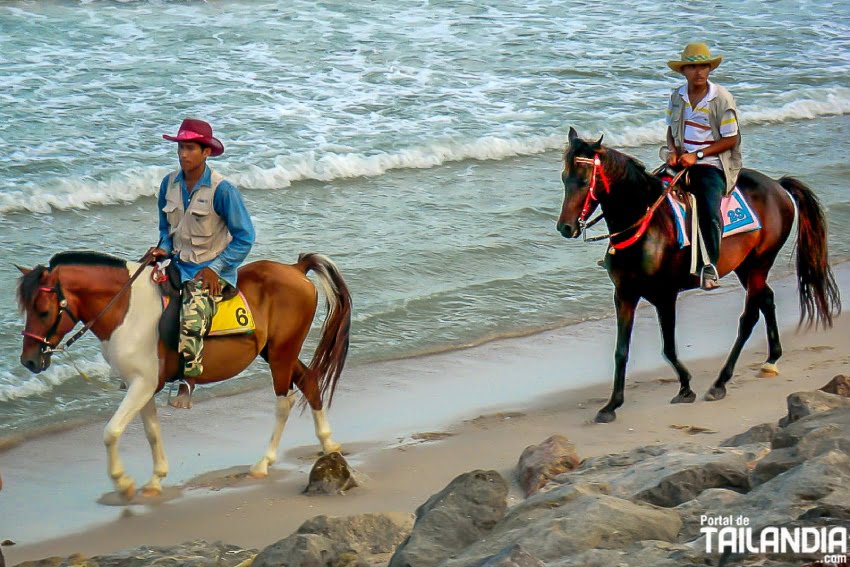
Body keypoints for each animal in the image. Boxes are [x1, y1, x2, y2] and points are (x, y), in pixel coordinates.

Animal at [17, 251, 348, 500]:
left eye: (43, 311)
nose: (29, 360)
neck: (125, 308)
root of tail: (296, 268)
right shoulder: (143, 385)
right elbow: (151, 432)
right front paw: (155, 480)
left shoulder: (142, 384)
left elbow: (111, 431)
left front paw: (123, 483)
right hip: (278, 352)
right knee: (309, 382)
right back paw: (328, 443)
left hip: (281, 354)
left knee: (283, 403)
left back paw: (262, 463)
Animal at [552, 127, 840, 422]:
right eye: (564, 178)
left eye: (584, 181)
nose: (565, 227)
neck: (647, 225)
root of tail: (778, 185)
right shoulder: (624, 294)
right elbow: (621, 351)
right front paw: (611, 406)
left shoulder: (665, 295)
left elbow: (668, 348)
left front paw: (686, 387)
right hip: (745, 266)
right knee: (767, 299)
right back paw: (771, 360)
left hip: (761, 261)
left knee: (748, 318)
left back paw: (720, 383)